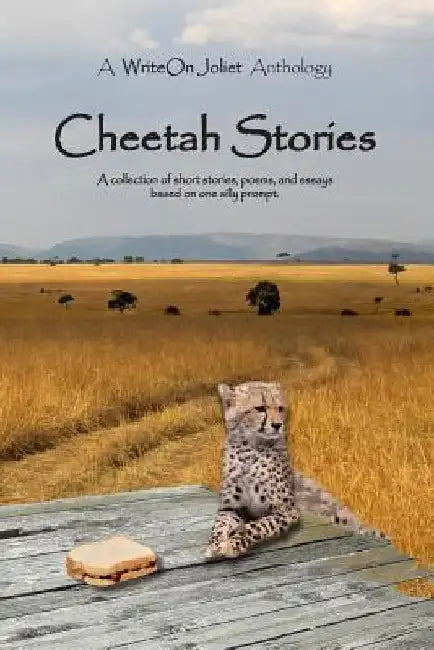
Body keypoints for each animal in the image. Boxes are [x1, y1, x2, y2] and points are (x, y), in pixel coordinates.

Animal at [205, 380, 388, 560]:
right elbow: (220, 524)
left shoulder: (287, 511)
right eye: (260, 408)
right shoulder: (231, 506)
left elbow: (258, 526)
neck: (248, 450)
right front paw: (215, 544)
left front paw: (233, 544)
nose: (278, 425)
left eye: (280, 408)